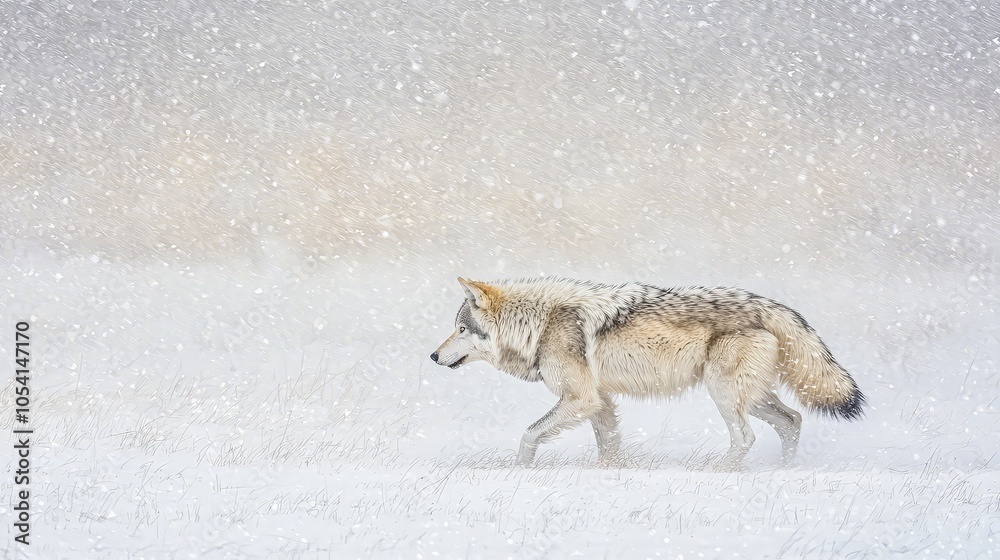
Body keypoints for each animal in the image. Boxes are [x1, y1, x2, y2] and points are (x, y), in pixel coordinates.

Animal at [430, 277, 864, 469]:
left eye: (462, 329)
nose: (433, 356)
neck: (539, 324)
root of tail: (770, 305)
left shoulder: (580, 399)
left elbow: (528, 434)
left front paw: (520, 472)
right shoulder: (599, 402)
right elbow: (608, 446)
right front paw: (607, 474)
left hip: (724, 394)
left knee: (746, 436)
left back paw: (717, 472)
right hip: (751, 397)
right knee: (793, 420)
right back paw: (783, 470)